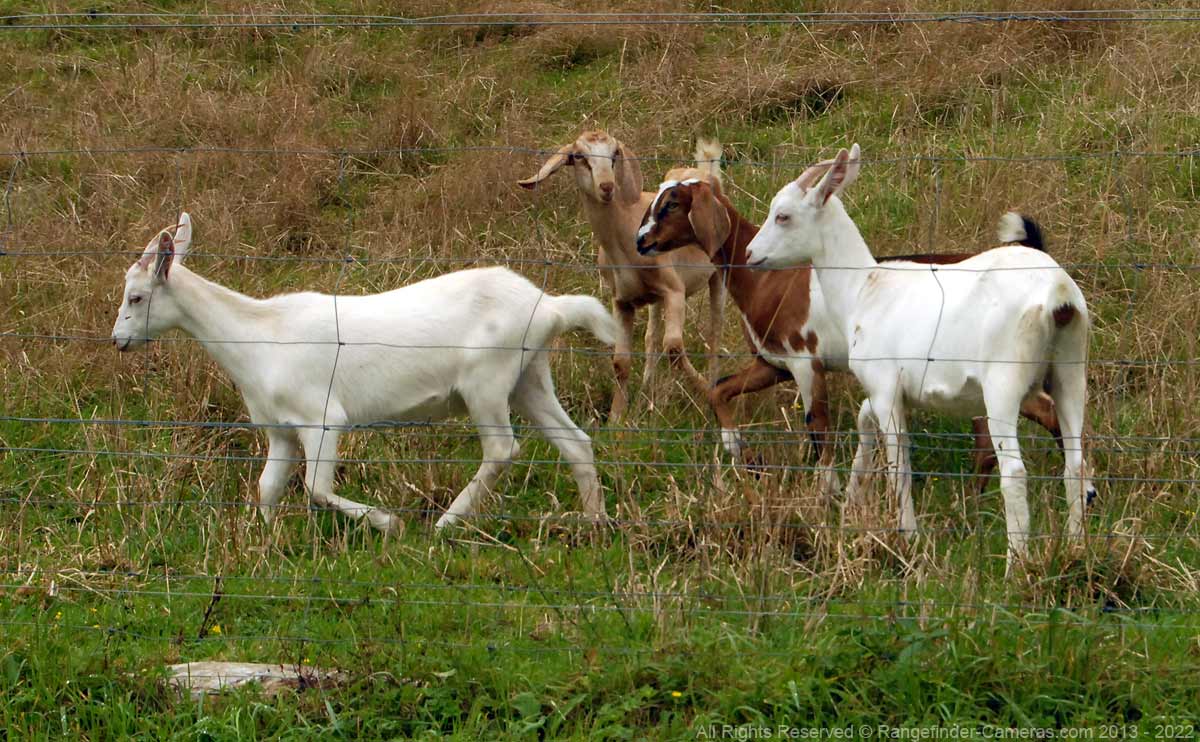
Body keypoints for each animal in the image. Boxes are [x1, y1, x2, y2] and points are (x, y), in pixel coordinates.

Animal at [111, 213, 616, 531]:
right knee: (575, 442)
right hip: (529, 375)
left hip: (486, 380)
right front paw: (265, 543)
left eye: (136, 296)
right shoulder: (280, 430)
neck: (259, 339)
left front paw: (386, 522)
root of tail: (549, 306)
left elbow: (315, 489)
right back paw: (593, 523)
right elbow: (267, 489)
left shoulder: (322, 418)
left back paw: (446, 523)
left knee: (502, 449)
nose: (119, 340)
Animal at [518, 131, 725, 421]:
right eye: (579, 156)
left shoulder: (674, 290)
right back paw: (648, 394)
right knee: (651, 337)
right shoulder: (622, 301)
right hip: (656, 300)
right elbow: (620, 362)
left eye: (615, 153)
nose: (606, 186)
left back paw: (714, 384)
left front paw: (707, 393)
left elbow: (673, 348)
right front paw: (617, 418)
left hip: (719, 274)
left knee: (715, 334)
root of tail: (705, 172)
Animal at [634, 147, 1061, 495]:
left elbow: (817, 424)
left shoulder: (805, 360)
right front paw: (743, 455)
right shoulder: (772, 364)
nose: (641, 241)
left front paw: (828, 491)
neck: (767, 281)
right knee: (1016, 425)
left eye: (672, 204)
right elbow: (719, 390)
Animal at [743, 146, 1097, 564]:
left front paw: (908, 538)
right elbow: (864, 420)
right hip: (1070, 371)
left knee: (1014, 471)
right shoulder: (892, 392)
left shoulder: (884, 388)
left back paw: (1017, 563)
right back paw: (1076, 548)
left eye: (783, 215)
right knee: (1074, 462)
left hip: (1003, 384)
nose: (749, 254)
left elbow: (899, 465)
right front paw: (853, 501)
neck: (863, 288)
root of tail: (1058, 294)